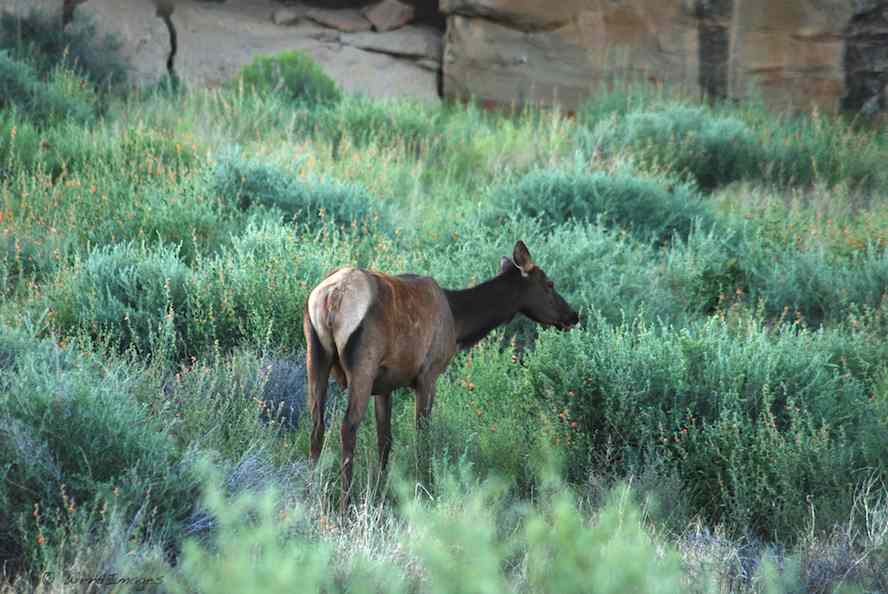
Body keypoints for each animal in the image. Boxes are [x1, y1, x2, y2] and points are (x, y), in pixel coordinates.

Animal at [304, 240, 584, 508]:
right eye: (549, 284)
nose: (573, 315)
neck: (459, 323)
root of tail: (332, 297)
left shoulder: (384, 385)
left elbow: (385, 440)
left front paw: (380, 491)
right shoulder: (429, 374)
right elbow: (423, 434)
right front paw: (424, 487)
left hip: (316, 356)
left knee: (316, 425)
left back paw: (311, 491)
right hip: (363, 364)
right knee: (348, 426)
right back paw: (345, 503)